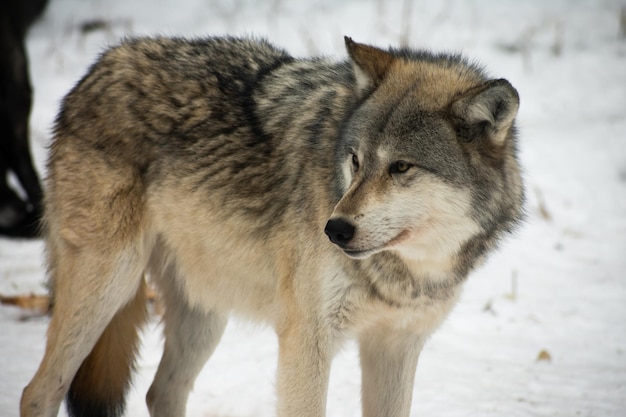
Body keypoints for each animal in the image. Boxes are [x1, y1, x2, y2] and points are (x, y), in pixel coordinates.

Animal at [20, 35, 520, 416]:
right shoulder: (306, 344)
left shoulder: (396, 346)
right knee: (37, 393)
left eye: (401, 167)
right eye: (356, 160)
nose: (334, 230)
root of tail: (97, 67)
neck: (405, 272)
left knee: (160, 393)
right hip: (111, 287)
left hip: (205, 315)